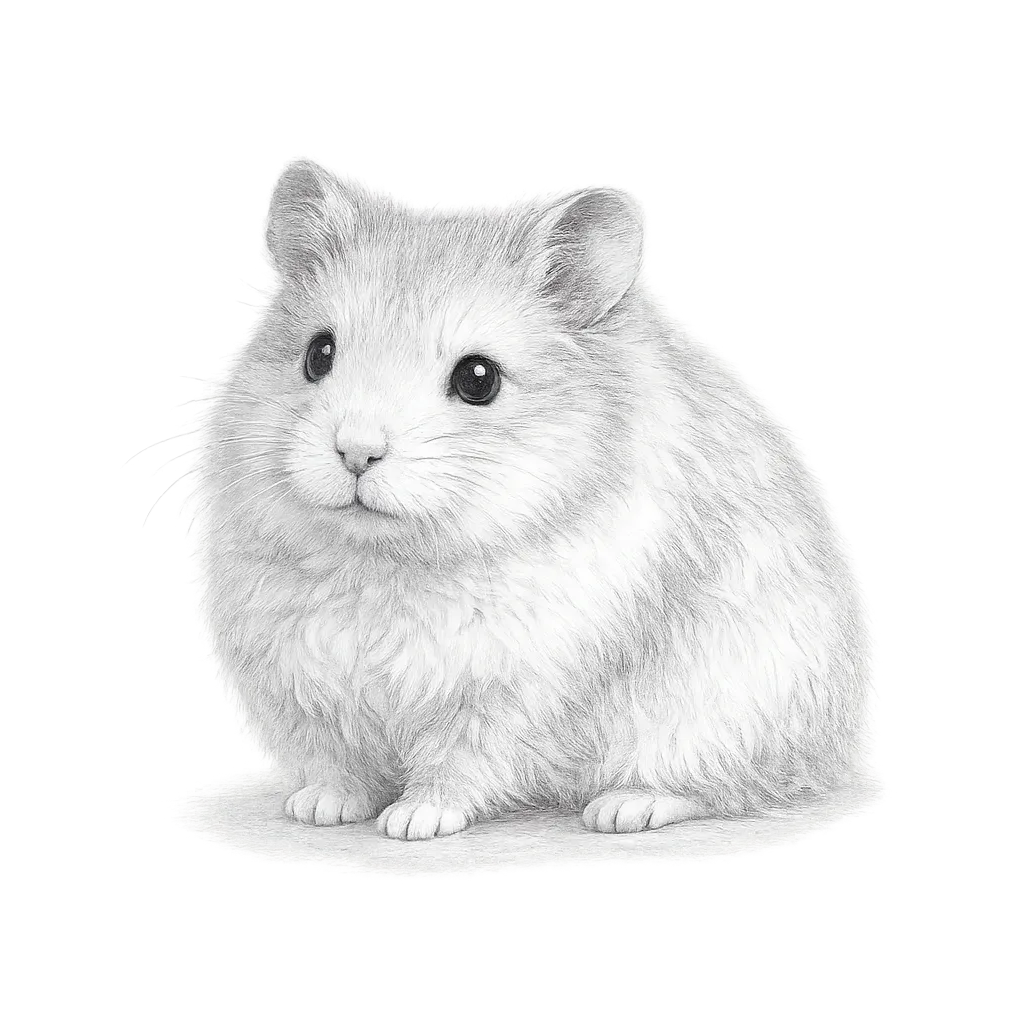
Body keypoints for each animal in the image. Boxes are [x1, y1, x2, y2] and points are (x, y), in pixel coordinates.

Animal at [203, 164, 864, 840]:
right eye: (318, 354)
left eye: (478, 379)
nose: (355, 452)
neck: (388, 563)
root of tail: (831, 746)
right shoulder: (316, 687)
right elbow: (343, 762)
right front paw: (318, 809)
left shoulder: (510, 688)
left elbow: (456, 763)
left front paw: (411, 823)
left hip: (717, 719)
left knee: (729, 786)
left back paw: (622, 809)